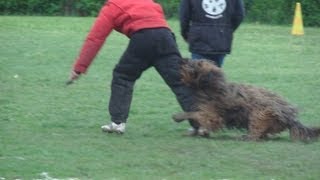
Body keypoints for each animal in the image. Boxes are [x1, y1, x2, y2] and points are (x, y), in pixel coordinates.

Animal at [172, 59, 320, 141]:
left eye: (193, 65)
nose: (181, 60)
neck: (212, 86)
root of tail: (290, 117)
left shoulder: (211, 114)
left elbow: (194, 114)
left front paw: (178, 116)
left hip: (260, 113)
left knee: (256, 134)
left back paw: (245, 137)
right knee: (262, 134)